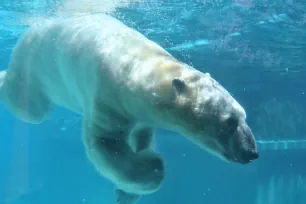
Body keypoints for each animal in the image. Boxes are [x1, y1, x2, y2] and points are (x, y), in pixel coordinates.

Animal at [0, 13, 258, 203]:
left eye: (244, 116)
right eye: (229, 121)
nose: (252, 152)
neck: (141, 67)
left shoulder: (141, 115)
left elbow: (141, 138)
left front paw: (126, 193)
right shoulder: (107, 98)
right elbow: (105, 143)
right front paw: (153, 165)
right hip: (34, 65)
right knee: (32, 108)